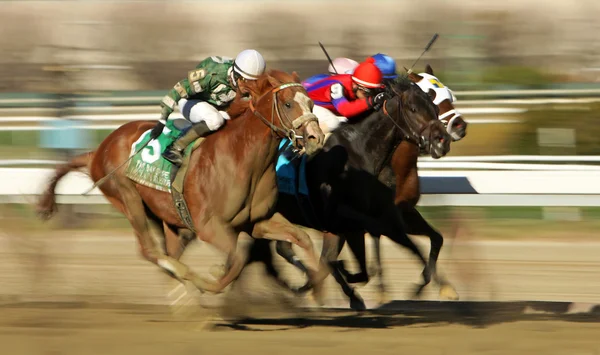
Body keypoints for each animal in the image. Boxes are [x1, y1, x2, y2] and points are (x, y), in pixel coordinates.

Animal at [36, 68, 328, 298]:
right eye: (288, 104)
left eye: (311, 103)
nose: (315, 137)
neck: (242, 157)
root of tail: (98, 150)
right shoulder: (209, 227)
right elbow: (237, 259)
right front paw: (209, 280)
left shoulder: (257, 221)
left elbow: (301, 237)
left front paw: (315, 285)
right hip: (127, 197)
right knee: (150, 251)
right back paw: (185, 282)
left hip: (167, 218)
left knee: (169, 250)